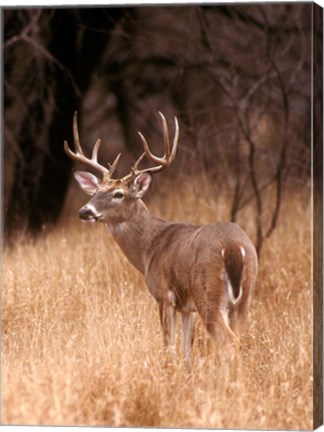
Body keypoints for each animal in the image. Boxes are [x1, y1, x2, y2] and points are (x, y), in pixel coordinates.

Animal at [64, 110, 258, 368]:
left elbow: (168, 345)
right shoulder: (187, 307)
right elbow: (187, 349)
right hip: (244, 295)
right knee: (238, 337)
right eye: (96, 191)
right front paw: (186, 372)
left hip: (208, 292)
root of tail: (234, 247)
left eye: (119, 194)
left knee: (228, 342)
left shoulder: (163, 294)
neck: (149, 248)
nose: (84, 211)